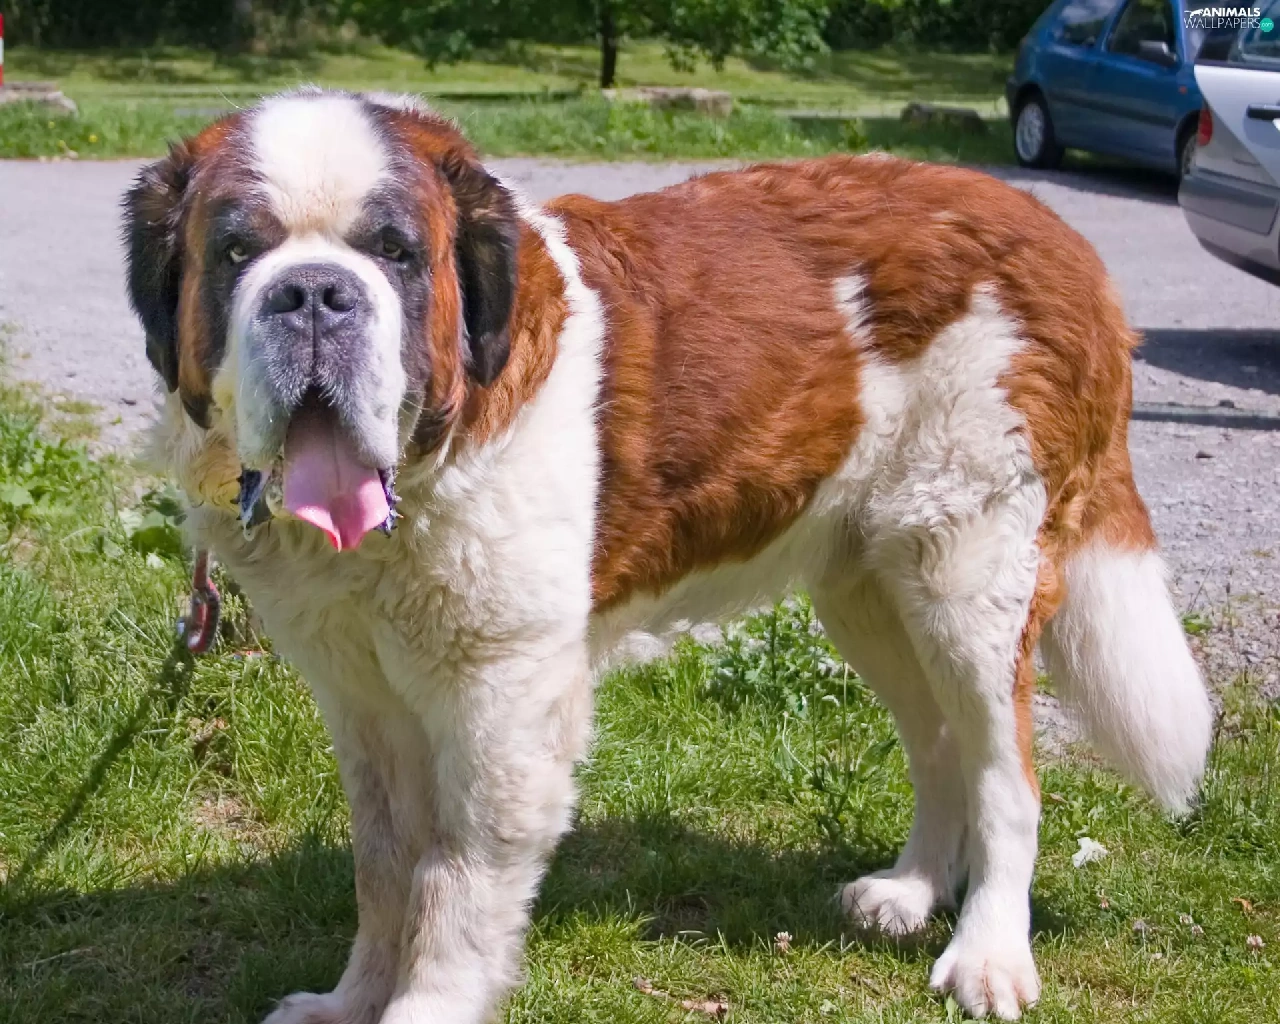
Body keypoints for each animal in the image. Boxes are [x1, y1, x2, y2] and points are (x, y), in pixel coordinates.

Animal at [123, 88, 1213, 1022]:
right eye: (237, 252)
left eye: (393, 253)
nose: (312, 293)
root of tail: (1057, 232)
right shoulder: (363, 696)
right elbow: (387, 867)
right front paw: (350, 1001)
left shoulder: (501, 701)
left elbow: (456, 881)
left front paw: (423, 1006)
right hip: (869, 587)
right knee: (938, 743)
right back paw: (907, 892)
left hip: (965, 574)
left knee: (1007, 774)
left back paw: (987, 954)